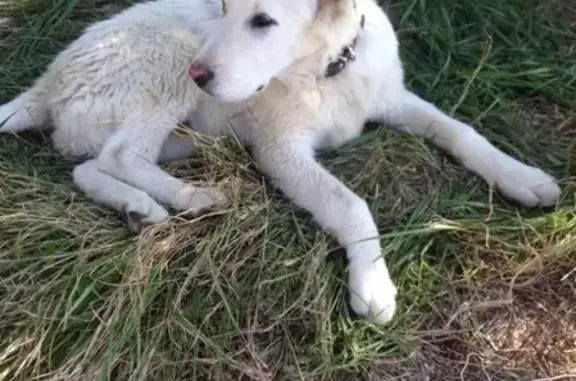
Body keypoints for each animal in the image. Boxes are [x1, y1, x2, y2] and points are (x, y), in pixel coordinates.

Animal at [0, 0, 560, 324]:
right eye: (224, 7)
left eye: (263, 21)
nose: (202, 72)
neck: (330, 69)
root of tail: (46, 83)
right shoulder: (281, 150)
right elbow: (350, 204)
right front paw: (372, 283)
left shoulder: (391, 98)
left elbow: (460, 131)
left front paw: (523, 177)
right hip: (169, 60)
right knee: (120, 153)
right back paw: (192, 196)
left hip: (174, 122)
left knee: (89, 165)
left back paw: (142, 207)